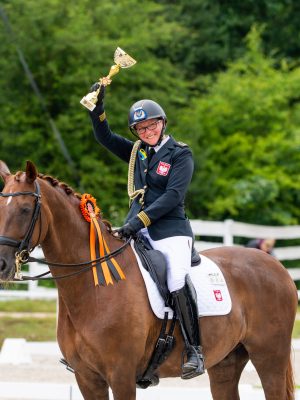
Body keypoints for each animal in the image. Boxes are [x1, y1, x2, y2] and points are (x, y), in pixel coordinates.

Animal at [0, 160, 296, 400]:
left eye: (25, 209)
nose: (2, 264)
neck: (93, 288)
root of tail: (275, 265)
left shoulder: (121, 375)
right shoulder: (87, 378)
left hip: (270, 358)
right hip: (226, 363)